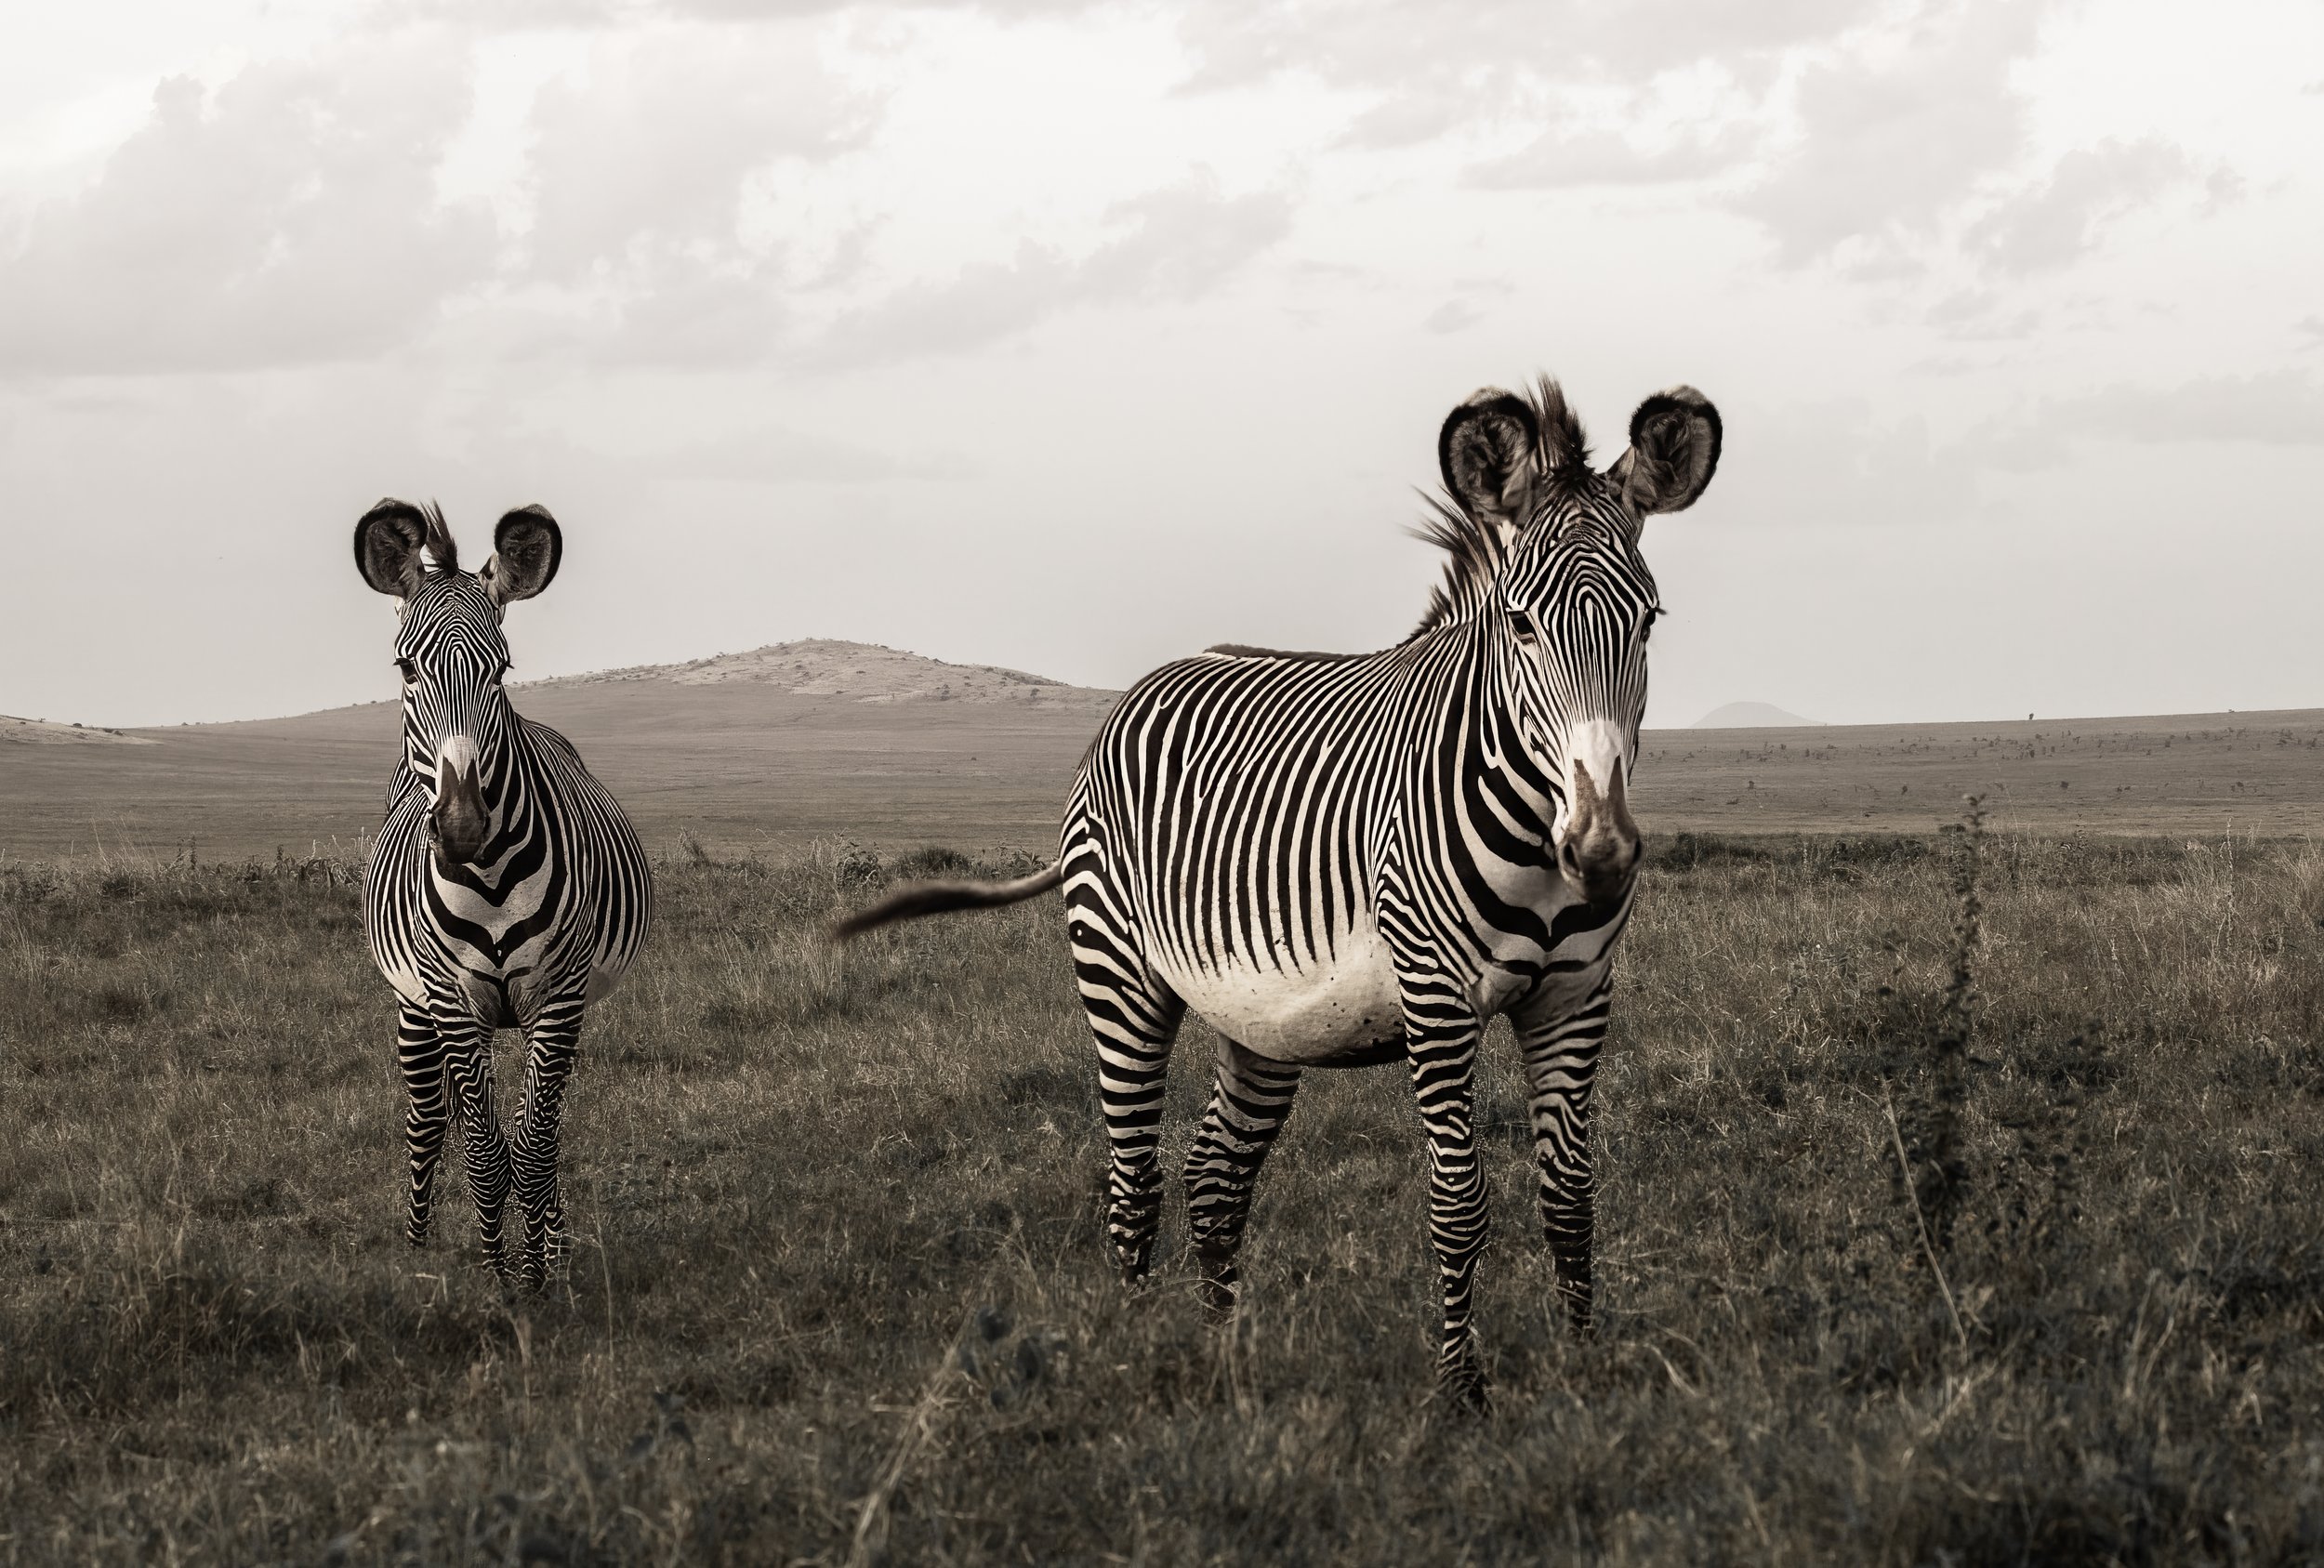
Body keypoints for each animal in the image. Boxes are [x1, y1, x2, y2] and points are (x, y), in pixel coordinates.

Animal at [353, 501, 653, 1290]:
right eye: (405, 665)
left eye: (501, 669)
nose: (462, 826)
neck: (488, 881)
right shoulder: (453, 1001)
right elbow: (487, 1154)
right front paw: (498, 1279)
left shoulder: (560, 997)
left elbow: (535, 1144)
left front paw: (542, 1271)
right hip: (417, 1007)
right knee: (431, 1119)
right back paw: (418, 1243)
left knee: (533, 1127)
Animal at [838, 379, 1720, 1404]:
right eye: (1521, 624)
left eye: (1648, 620)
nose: (1600, 847)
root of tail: (1151, 681)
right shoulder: (1435, 999)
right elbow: (1458, 1202)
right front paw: (1460, 1389)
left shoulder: (1576, 998)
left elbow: (1572, 1192)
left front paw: (1583, 1368)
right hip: (1118, 975)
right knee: (1133, 1174)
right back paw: (1136, 1345)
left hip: (1260, 1017)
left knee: (1213, 1174)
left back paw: (1223, 1354)